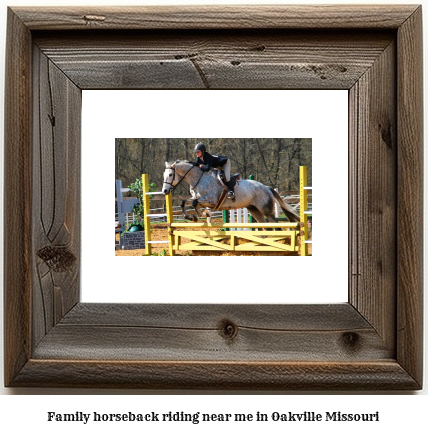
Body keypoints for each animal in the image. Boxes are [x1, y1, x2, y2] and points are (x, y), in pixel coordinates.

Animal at [162, 161, 300, 225]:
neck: (199, 178)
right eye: (164, 175)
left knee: (275, 225)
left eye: (170, 175)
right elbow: (185, 202)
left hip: (266, 210)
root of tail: (267, 188)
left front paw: (202, 214)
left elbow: (195, 203)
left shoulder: (212, 200)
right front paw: (192, 216)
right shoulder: (200, 199)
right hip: (254, 210)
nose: (165, 191)